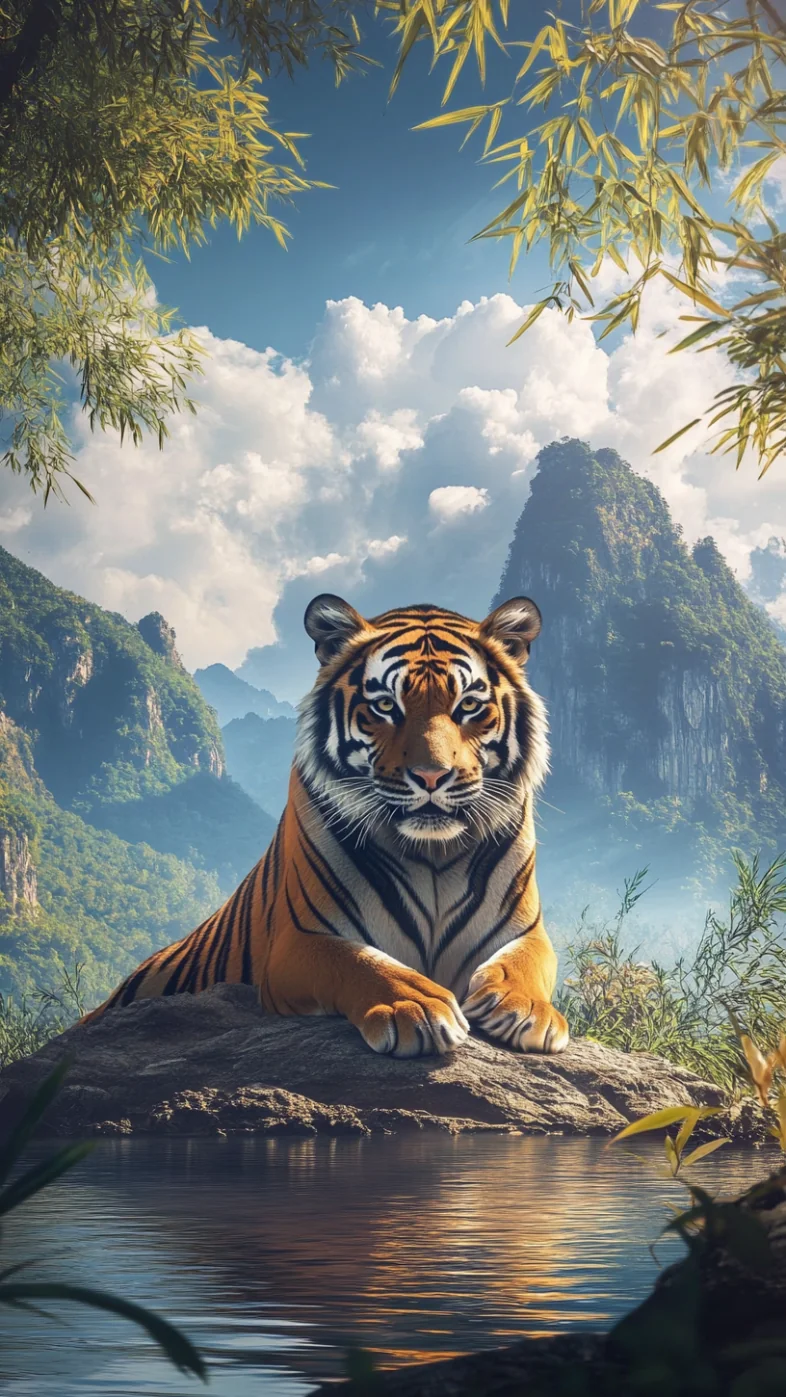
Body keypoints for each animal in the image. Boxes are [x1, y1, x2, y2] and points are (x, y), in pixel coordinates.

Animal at [84, 594, 569, 1058]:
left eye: (468, 705)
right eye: (385, 706)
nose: (432, 777)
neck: (433, 852)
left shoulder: (528, 930)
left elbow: (524, 962)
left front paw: (526, 1009)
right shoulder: (299, 940)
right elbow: (361, 962)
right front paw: (415, 1005)